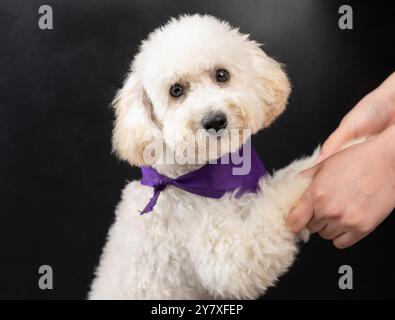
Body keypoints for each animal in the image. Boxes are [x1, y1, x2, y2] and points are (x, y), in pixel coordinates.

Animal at [89, 14, 318, 300]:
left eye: (221, 75)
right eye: (176, 90)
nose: (214, 121)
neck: (189, 179)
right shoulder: (227, 254)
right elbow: (273, 206)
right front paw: (305, 178)